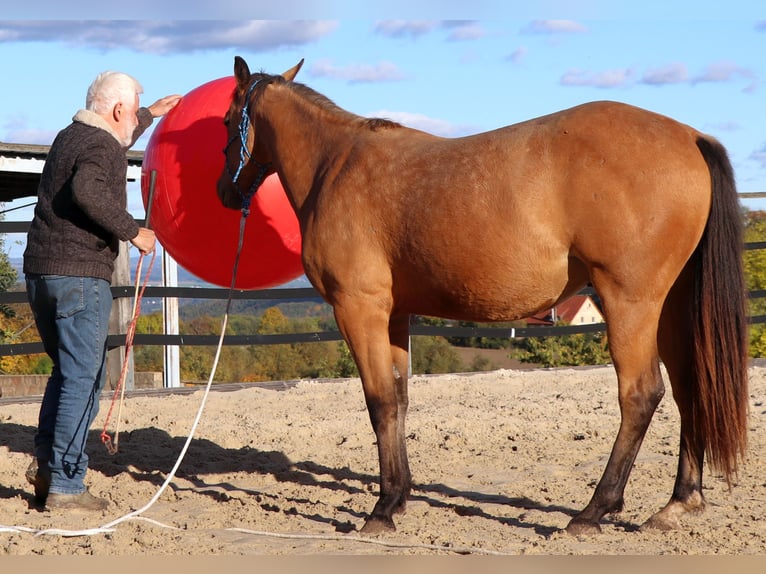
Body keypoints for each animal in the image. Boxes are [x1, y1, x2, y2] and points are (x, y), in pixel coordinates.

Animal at [216, 56, 749, 536]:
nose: (225, 192)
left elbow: (380, 401)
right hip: (672, 306)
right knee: (689, 386)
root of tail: (689, 136)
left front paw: (382, 511)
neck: (337, 164)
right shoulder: (395, 315)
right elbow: (401, 398)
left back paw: (592, 512)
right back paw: (679, 503)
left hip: (630, 303)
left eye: (225, 121)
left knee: (641, 394)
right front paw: (400, 495)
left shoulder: (358, 309)